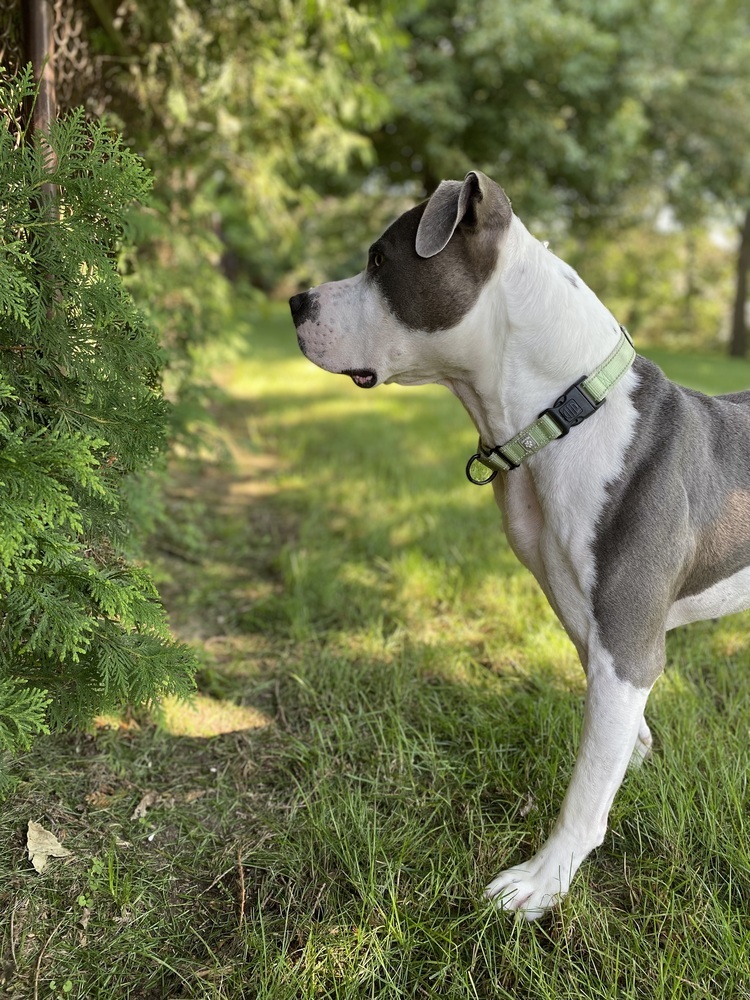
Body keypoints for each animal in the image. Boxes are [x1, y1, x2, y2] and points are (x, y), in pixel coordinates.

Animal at [288, 168, 750, 916]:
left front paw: (544, 879)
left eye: (380, 261)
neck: (561, 416)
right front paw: (637, 758)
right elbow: (610, 736)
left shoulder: (628, 642)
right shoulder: (582, 611)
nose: (296, 300)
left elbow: (586, 785)